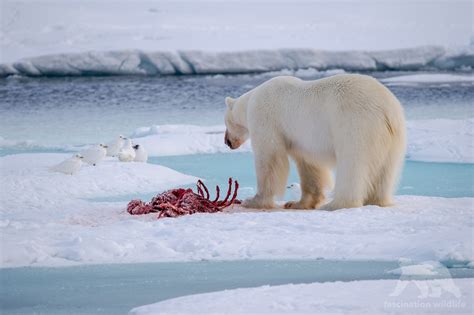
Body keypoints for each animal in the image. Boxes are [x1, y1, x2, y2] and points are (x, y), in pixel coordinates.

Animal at [224, 74, 406, 211]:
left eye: (225, 123)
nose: (227, 142)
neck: (250, 101)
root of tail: (387, 111)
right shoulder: (301, 141)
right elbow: (309, 165)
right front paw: (297, 203)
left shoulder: (265, 118)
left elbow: (270, 158)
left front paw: (253, 200)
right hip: (394, 138)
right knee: (385, 171)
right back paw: (377, 200)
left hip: (355, 124)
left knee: (352, 165)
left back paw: (336, 204)